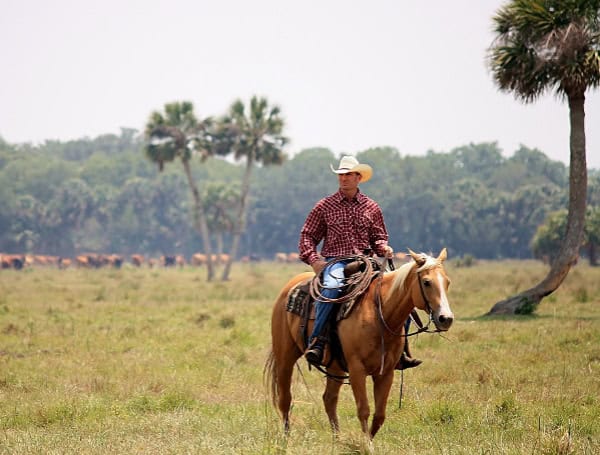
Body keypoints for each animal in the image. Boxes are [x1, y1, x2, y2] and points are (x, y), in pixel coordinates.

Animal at [264, 248, 452, 440]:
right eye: (427, 282)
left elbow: (379, 415)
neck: (379, 314)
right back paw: (287, 438)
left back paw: (338, 440)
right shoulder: (356, 369)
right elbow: (364, 410)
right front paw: (366, 444)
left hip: (335, 366)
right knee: (285, 398)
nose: (446, 319)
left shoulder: (386, 372)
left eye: (447, 282)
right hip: (285, 357)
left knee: (329, 399)